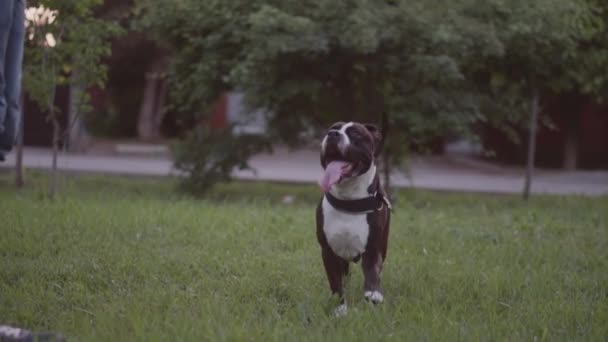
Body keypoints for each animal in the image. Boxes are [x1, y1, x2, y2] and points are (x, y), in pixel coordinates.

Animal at [316, 121, 392, 316]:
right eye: (330, 129)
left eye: (356, 134)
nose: (332, 134)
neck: (349, 199)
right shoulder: (328, 252)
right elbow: (336, 283)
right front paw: (340, 309)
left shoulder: (373, 249)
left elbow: (373, 273)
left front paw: (373, 294)